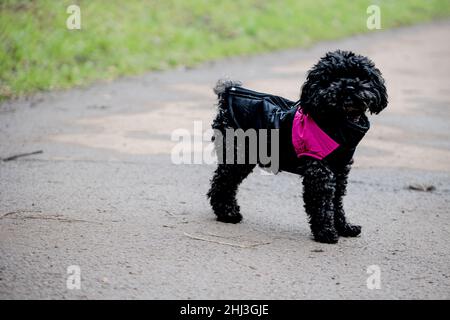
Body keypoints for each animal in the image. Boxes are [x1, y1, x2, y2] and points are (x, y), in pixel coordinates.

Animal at [207, 50, 386, 244]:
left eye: (360, 76)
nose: (350, 87)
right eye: (332, 78)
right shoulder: (318, 171)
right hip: (238, 154)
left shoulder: (339, 170)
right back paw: (227, 214)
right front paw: (326, 232)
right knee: (222, 181)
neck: (337, 121)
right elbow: (322, 203)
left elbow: (336, 201)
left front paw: (344, 227)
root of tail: (228, 93)